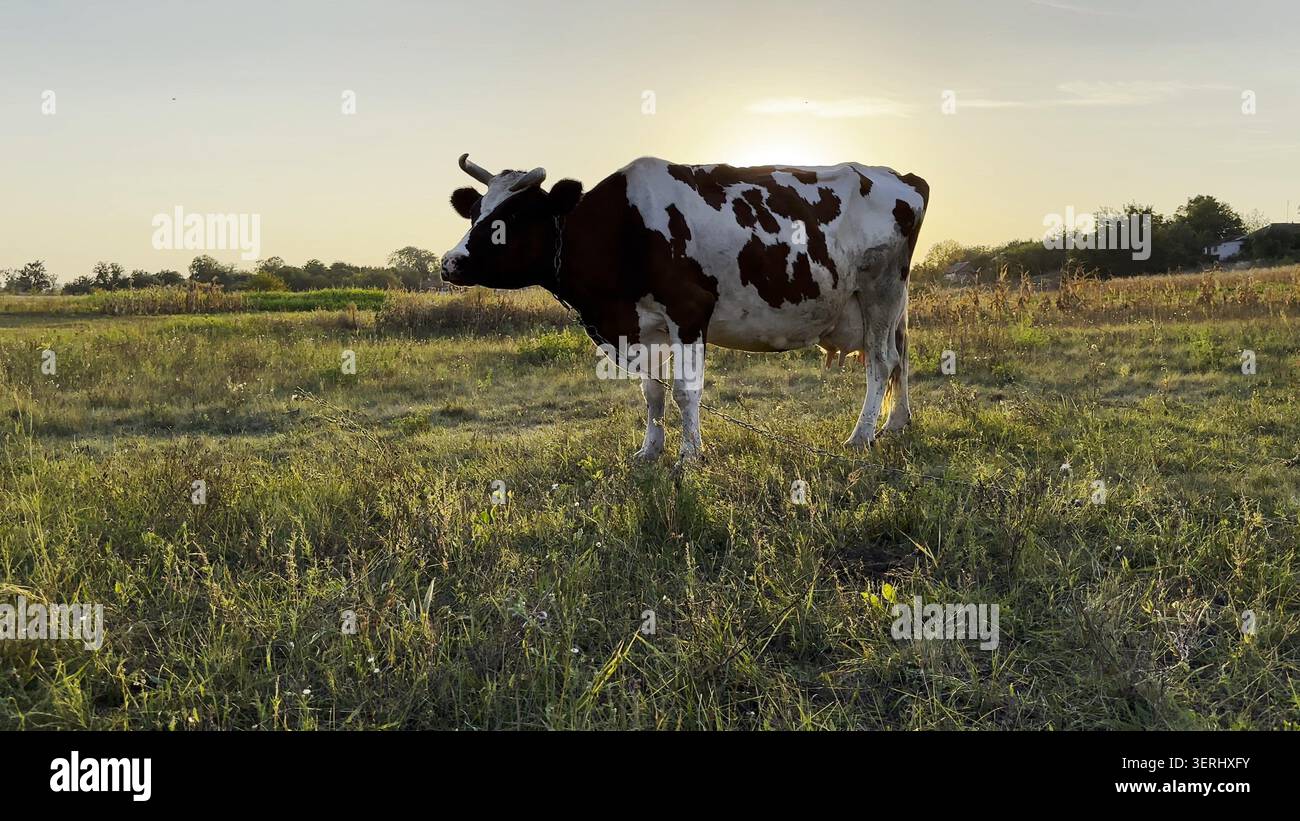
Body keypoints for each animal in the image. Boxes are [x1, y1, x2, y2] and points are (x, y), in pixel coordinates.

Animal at [442, 153, 929, 464]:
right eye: (475, 213)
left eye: (513, 217)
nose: (450, 262)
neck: (622, 229)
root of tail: (899, 176)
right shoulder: (644, 327)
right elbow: (653, 392)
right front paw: (649, 450)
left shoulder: (689, 311)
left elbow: (684, 390)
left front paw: (689, 455)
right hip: (890, 303)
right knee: (901, 358)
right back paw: (895, 425)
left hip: (881, 291)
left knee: (881, 363)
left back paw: (860, 437)